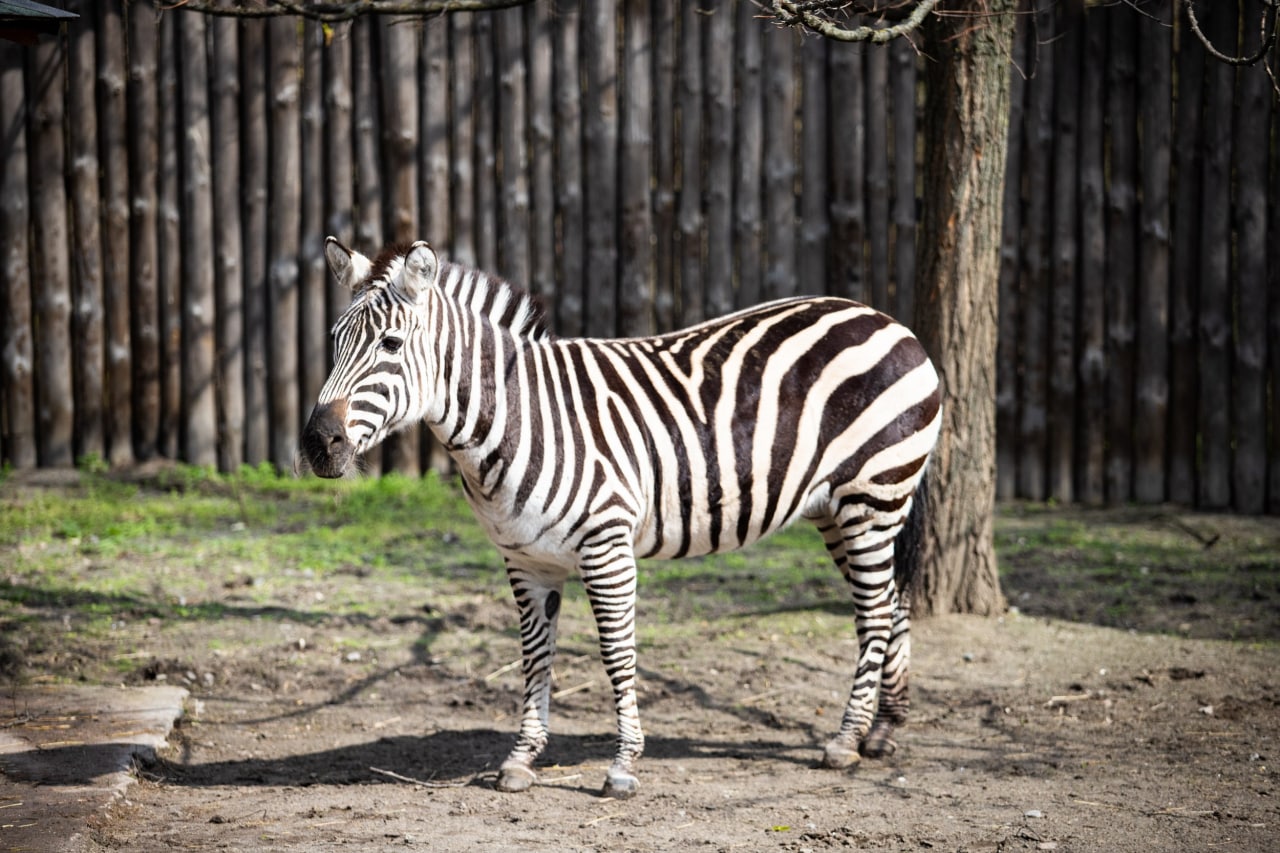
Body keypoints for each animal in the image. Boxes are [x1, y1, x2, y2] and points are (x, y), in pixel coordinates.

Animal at [299, 236, 942, 799]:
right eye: (332, 341)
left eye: (390, 344)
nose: (317, 444)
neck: (517, 419)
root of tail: (887, 320)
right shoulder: (525, 559)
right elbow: (535, 655)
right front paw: (522, 759)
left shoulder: (607, 546)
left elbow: (616, 653)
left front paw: (623, 765)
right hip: (839, 509)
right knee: (893, 602)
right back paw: (884, 729)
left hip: (871, 495)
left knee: (873, 614)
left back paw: (846, 740)